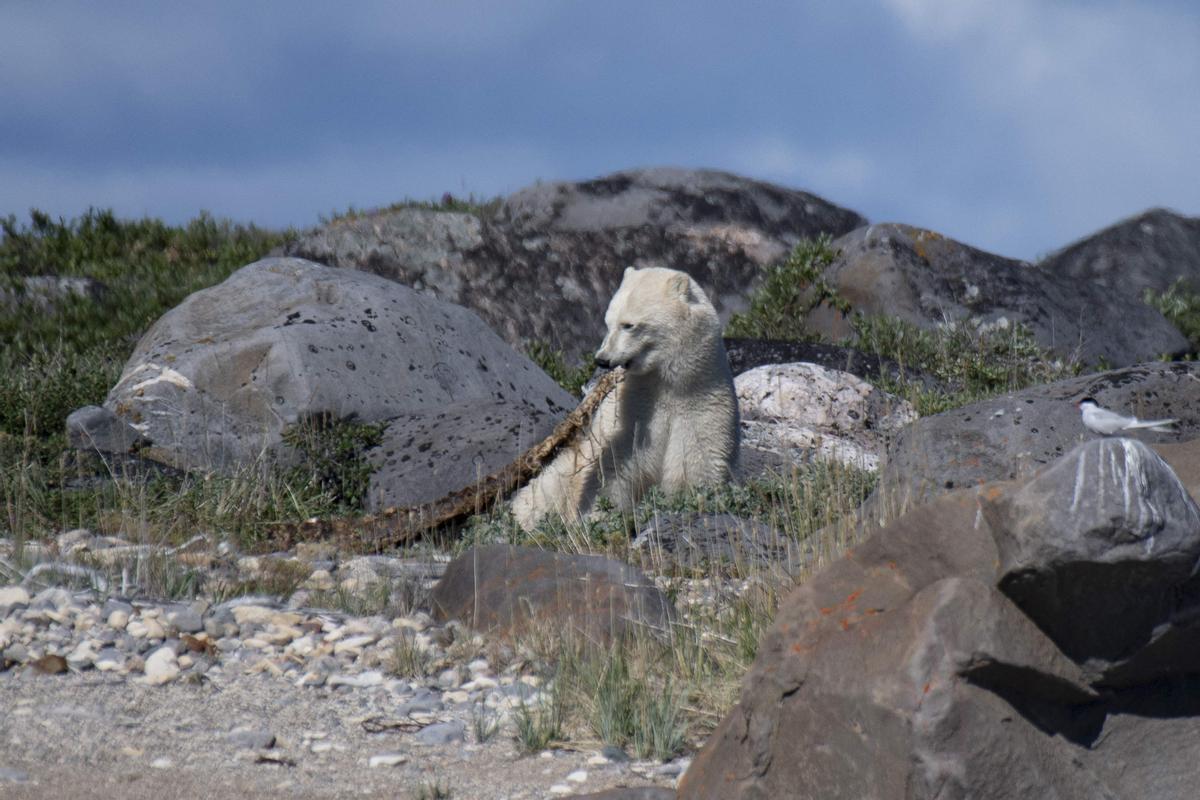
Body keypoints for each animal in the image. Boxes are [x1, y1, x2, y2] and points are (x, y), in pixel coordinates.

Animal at [508, 268, 734, 532]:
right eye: (608, 322)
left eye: (629, 325)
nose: (602, 359)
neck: (665, 384)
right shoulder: (630, 410)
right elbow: (615, 466)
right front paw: (601, 517)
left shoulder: (702, 404)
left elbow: (699, 462)